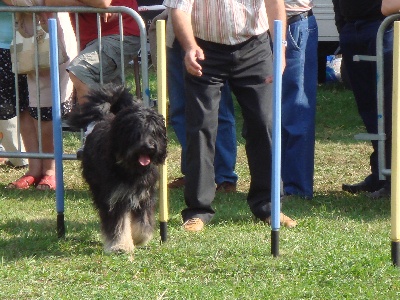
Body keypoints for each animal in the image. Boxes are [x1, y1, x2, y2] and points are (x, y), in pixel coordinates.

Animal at [68, 84, 167, 253]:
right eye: (137, 132)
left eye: (154, 131)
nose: (149, 147)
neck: (131, 169)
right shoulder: (114, 198)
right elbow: (118, 225)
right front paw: (120, 246)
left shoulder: (144, 196)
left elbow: (143, 223)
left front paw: (139, 239)